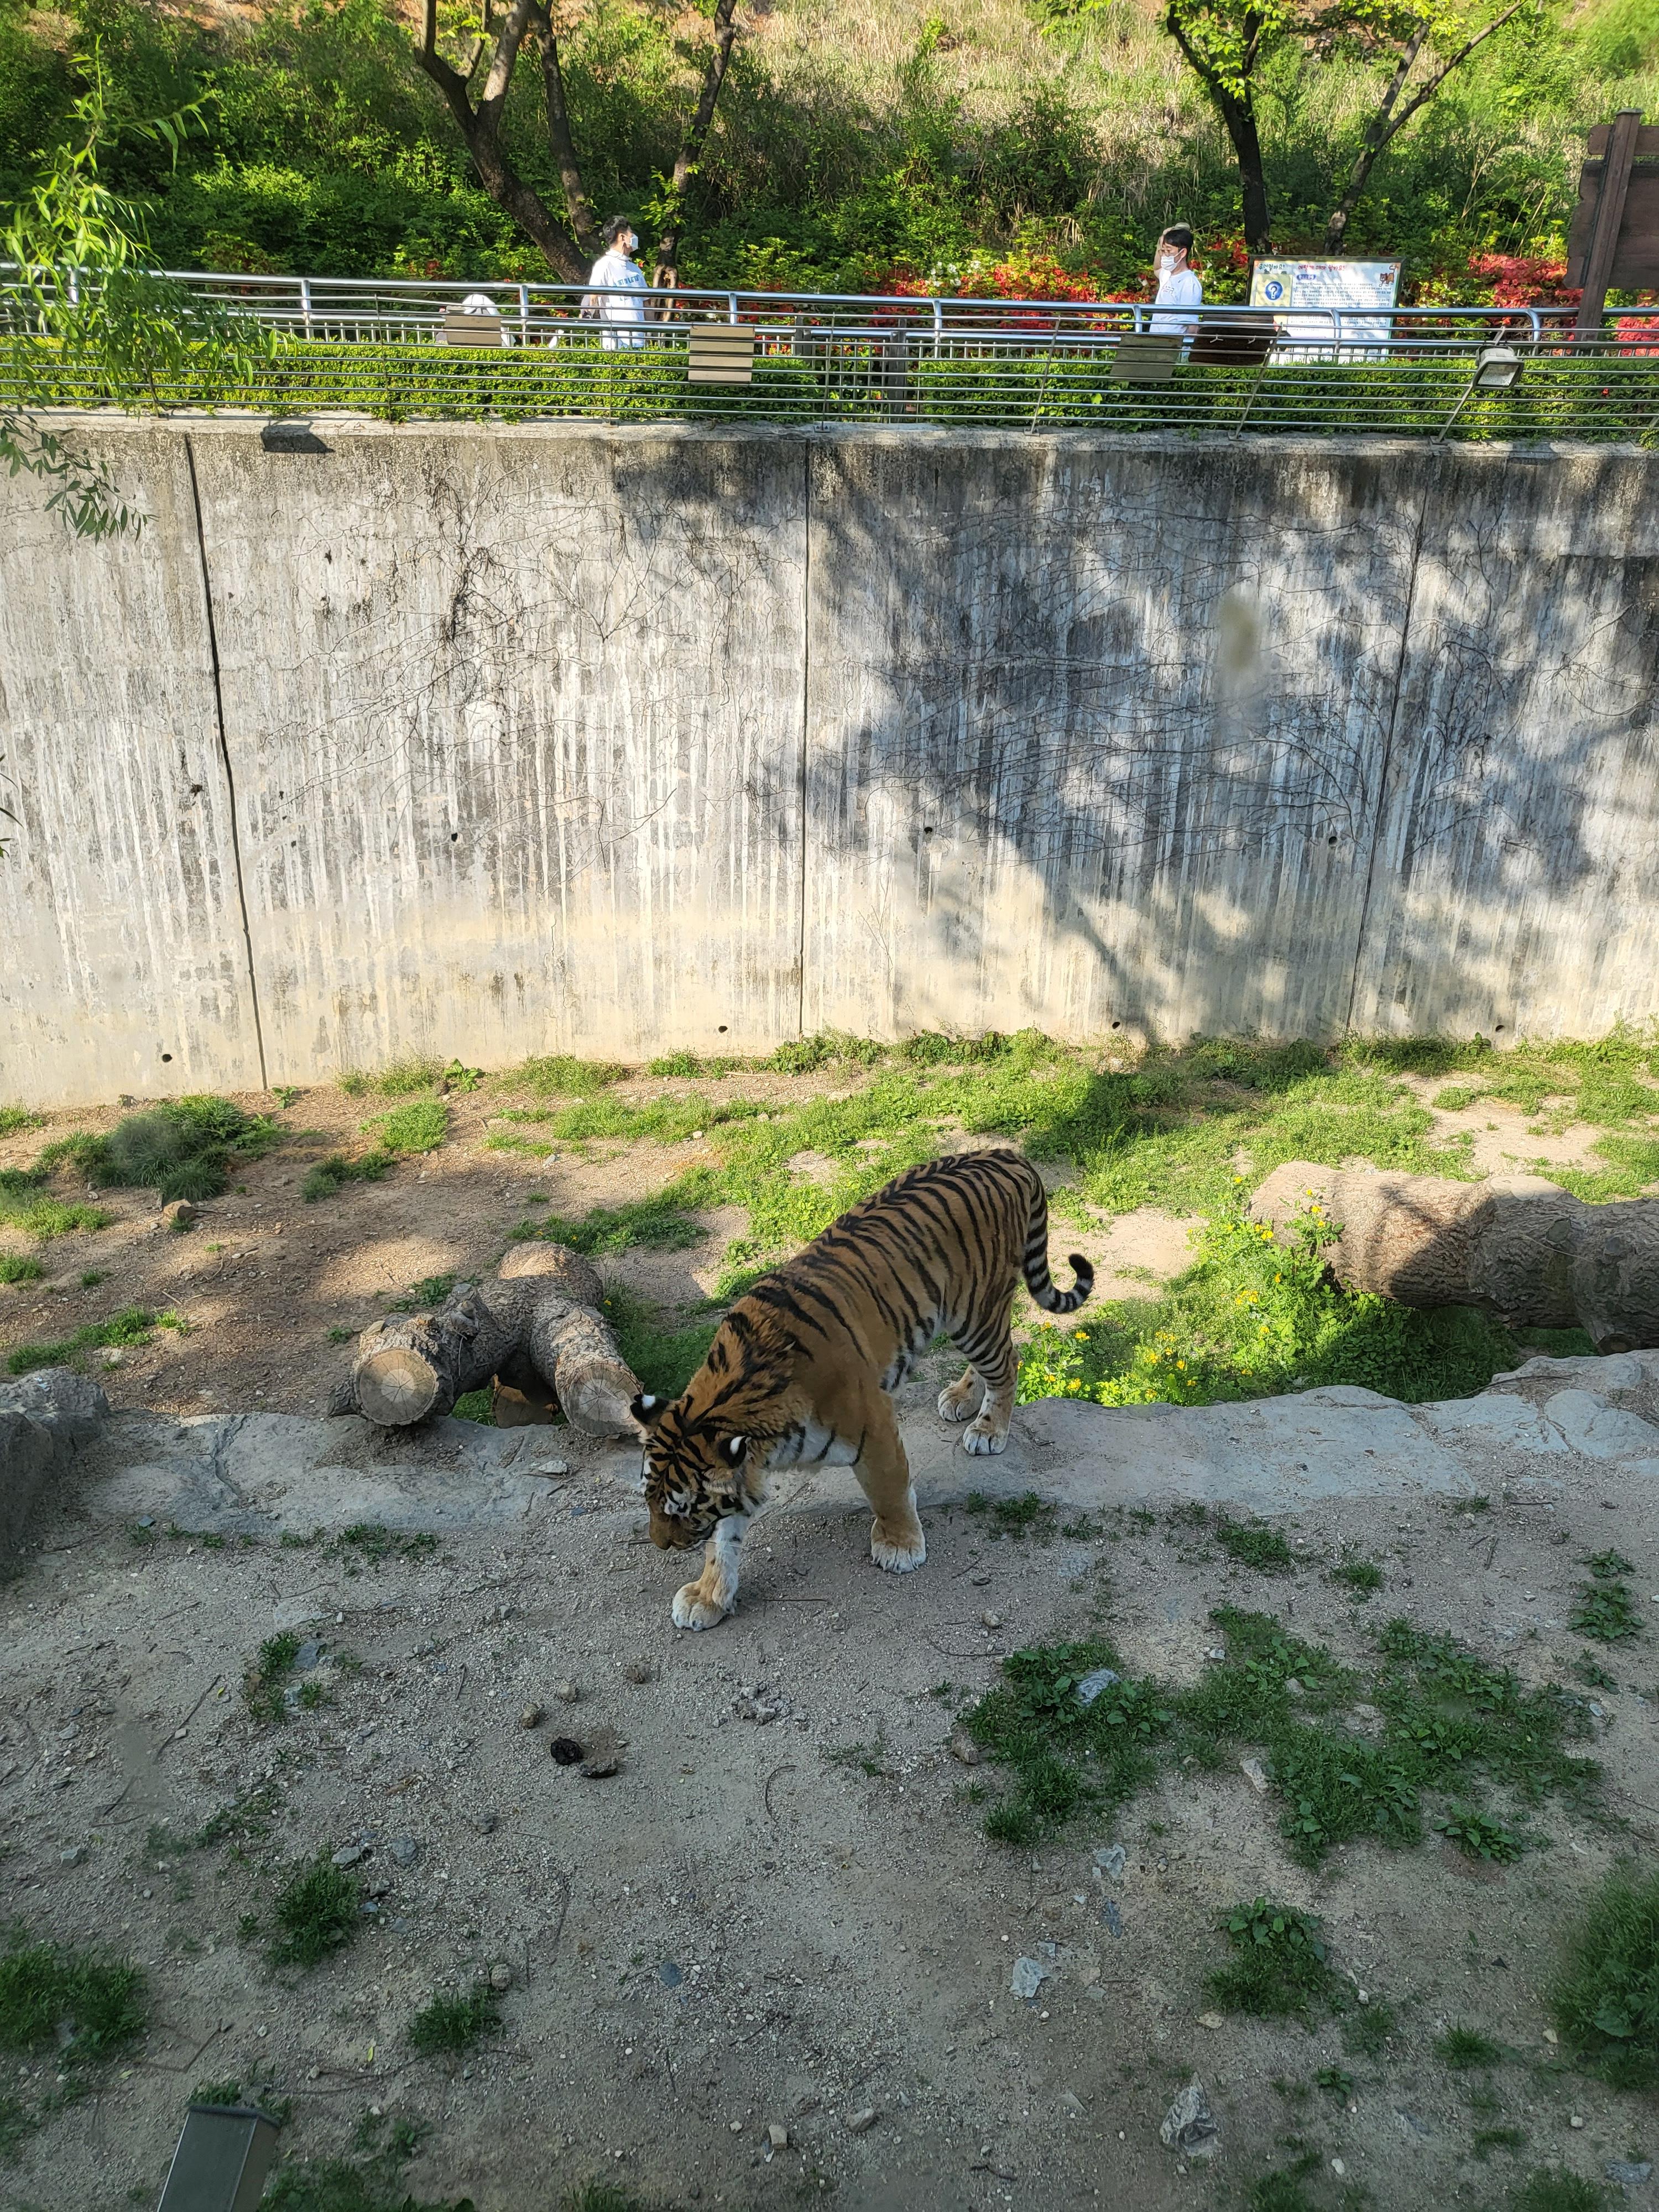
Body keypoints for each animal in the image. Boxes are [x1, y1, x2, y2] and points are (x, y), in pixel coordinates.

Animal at [631, 1148, 1093, 1630]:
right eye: (649, 1498)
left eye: (683, 1508)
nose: (660, 1544)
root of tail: (1005, 1154)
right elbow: (722, 1541)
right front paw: (707, 1596)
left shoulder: (873, 1425)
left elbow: (888, 1490)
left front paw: (899, 1546)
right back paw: (961, 1398)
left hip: (974, 1314)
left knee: (1007, 1362)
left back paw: (988, 1430)